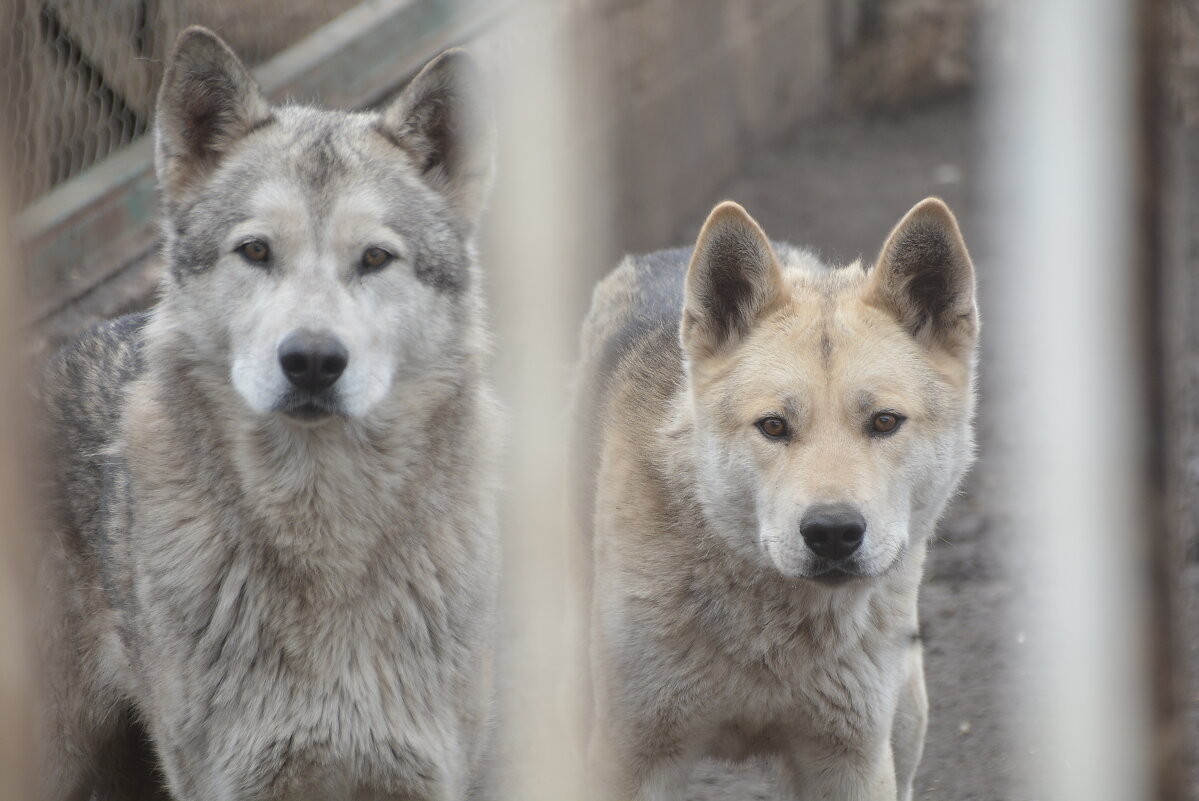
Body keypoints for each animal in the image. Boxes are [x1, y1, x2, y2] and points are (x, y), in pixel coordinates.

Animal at [575, 200, 978, 801]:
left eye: (885, 422)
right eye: (773, 426)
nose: (833, 533)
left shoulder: (851, 762)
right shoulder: (631, 757)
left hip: (903, 721)